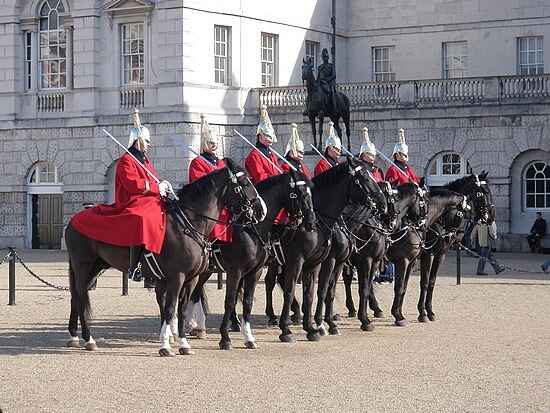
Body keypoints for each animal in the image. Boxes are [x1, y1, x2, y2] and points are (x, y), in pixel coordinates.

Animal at [65, 158, 266, 354]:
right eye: (245, 182)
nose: (261, 210)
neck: (189, 223)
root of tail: (73, 220)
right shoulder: (179, 276)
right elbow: (170, 308)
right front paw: (166, 345)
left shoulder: (192, 278)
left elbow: (182, 309)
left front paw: (183, 343)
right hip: (83, 266)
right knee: (80, 296)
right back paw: (88, 338)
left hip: (96, 267)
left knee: (76, 296)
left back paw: (75, 336)